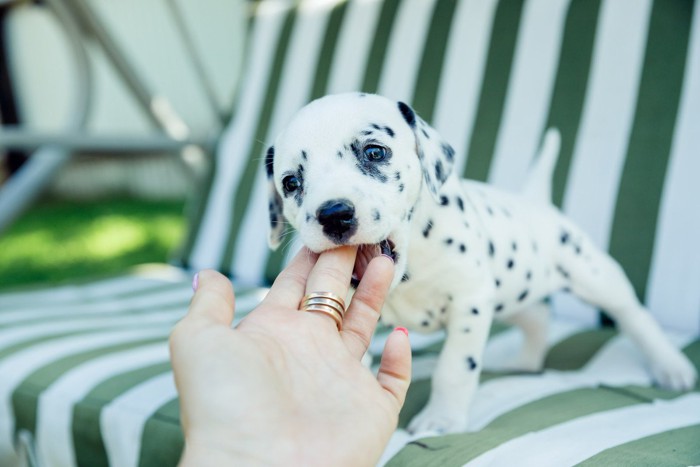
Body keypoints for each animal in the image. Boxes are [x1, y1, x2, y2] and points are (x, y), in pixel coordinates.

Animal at [266, 91, 696, 436]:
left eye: (375, 151)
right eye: (290, 182)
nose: (334, 214)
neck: (411, 268)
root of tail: (536, 202)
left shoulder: (470, 301)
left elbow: (455, 368)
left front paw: (442, 420)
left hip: (592, 274)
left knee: (632, 314)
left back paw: (670, 366)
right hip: (512, 295)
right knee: (537, 318)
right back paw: (525, 362)